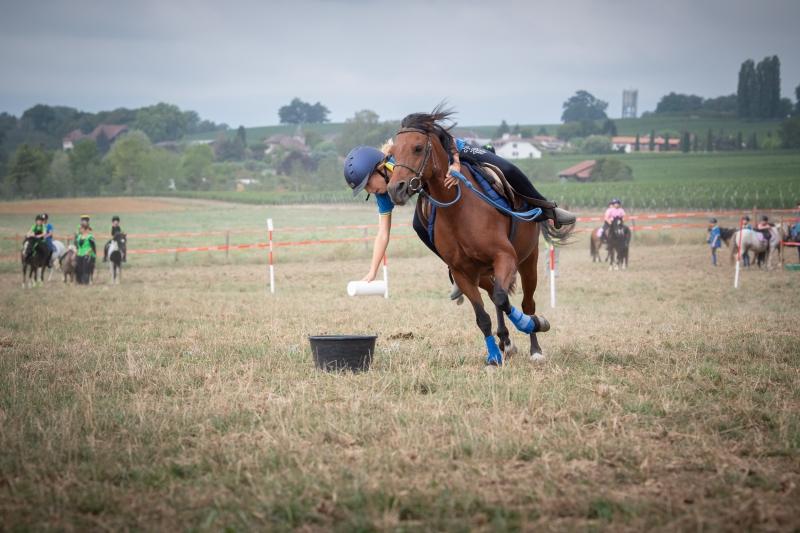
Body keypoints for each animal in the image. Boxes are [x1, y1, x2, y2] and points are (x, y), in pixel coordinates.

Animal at [386, 108, 568, 366]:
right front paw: (493, 357)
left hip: (528, 260)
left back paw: (535, 347)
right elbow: (483, 316)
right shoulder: (462, 273)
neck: (458, 210)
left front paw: (533, 324)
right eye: (392, 153)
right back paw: (505, 342)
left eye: (418, 148)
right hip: (484, 273)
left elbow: (504, 300)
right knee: (495, 296)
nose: (396, 189)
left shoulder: (505, 257)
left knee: (525, 302)